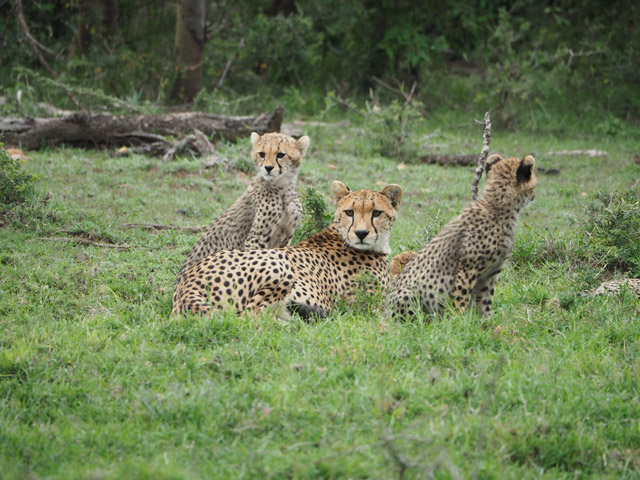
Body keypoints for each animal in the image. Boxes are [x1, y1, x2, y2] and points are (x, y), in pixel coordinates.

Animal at [172, 181, 403, 319]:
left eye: (376, 213)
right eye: (349, 212)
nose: (361, 233)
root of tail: (186, 282)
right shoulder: (368, 304)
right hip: (279, 263)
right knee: (250, 315)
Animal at [176, 131, 310, 280]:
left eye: (281, 155)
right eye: (262, 154)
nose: (268, 168)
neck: (283, 188)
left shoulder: (286, 237)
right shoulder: (255, 239)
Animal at [387, 154, 537, 318]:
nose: (534, 196)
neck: (496, 208)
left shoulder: (490, 275)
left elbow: (485, 301)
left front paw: (486, 322)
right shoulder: (467, 269)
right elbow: (461, 299)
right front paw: (458, 320)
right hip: (408, 293)